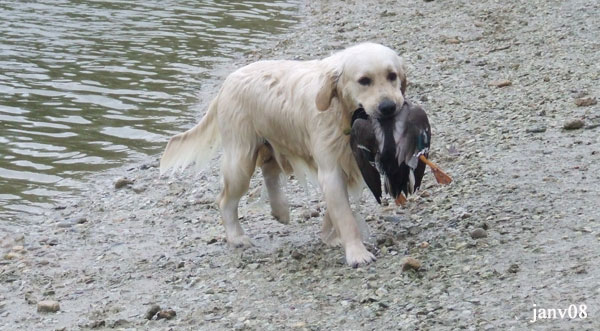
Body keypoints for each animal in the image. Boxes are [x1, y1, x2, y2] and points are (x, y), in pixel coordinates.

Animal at [162, 43, 408, 268]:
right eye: (364, 80)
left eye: (392, 76)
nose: (388, 106)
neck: (342, 113)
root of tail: (227, 81)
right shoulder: (330, 169)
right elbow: (345, 216)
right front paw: (357, 253)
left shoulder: (348, 162)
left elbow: (335, 210)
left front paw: (331, 236)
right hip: (240, 160)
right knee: (225, 200)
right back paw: (237, 237)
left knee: (269, 171)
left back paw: (279, 209)